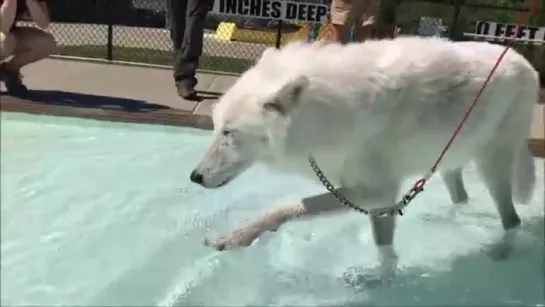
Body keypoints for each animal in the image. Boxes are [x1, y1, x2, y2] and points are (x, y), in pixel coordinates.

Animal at [189, 35, 536, 280]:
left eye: (228, 133)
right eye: (216, 128)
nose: (195, 177)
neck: (326, 112)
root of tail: (526, 62)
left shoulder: (375, 191)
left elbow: (284, 207)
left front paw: (237, 236)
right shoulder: (382, 198)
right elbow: (385, 250)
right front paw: (382, 281)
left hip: (491, 165)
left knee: (512, 220)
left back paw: (503, 252)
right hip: (450, 161)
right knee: (461, 197)